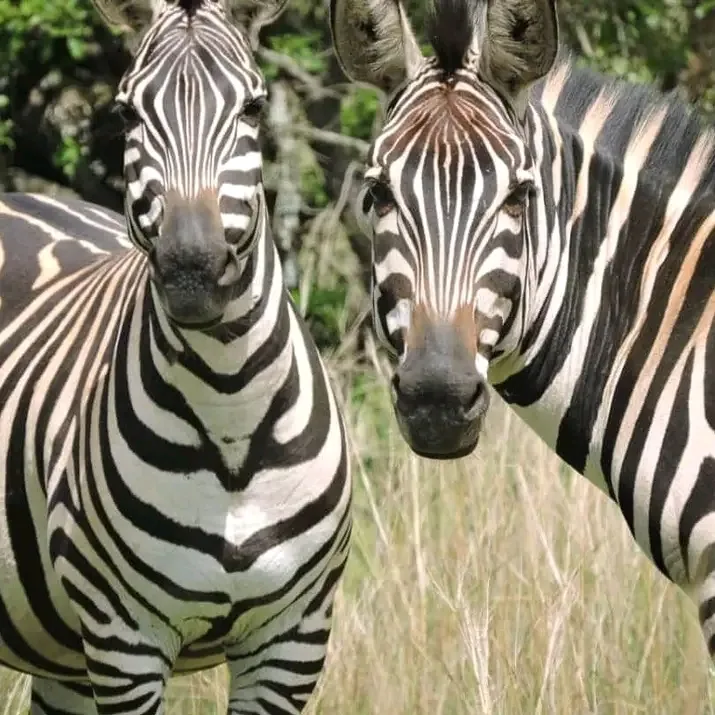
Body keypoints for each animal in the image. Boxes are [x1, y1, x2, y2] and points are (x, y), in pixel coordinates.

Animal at [0, 0, 352, 712]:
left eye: (253, 108)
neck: (230, 404)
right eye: (127, 113)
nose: (193, 270)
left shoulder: (292, 641)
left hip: (63, 654)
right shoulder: (124, 641)